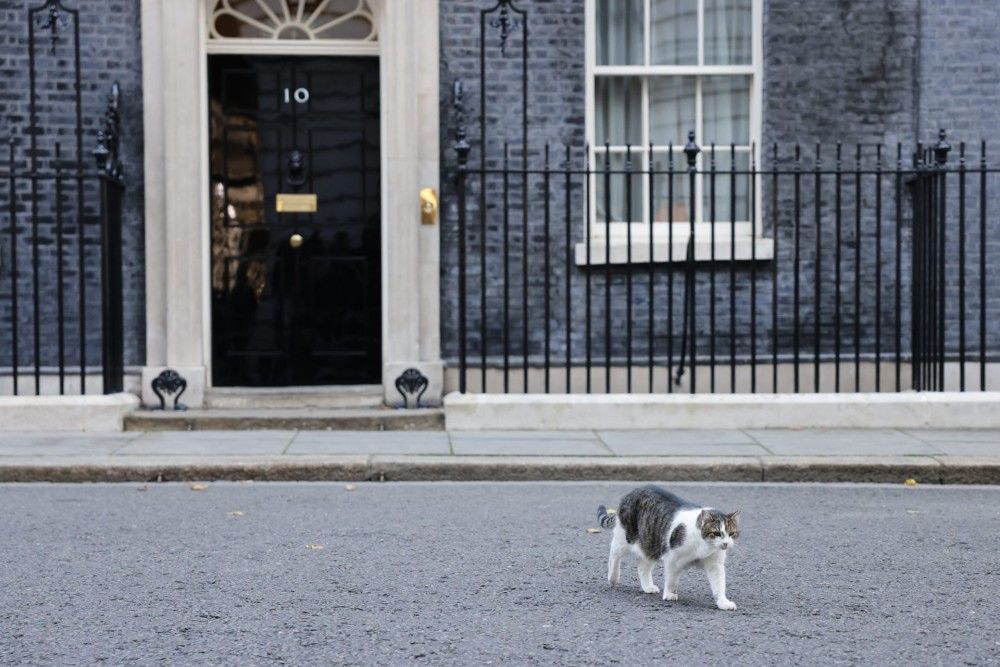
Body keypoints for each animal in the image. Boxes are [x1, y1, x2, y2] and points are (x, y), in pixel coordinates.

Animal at [592, 486, 744, 612]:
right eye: (716, 533)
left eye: (731, 533)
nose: (726, 543)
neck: (704, 547)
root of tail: (632, 492)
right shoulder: (672, 559)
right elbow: (671, 579)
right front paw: (670, 593)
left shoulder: (715, 565)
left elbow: (719, 584)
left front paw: (723, 602)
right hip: (626, 537)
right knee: (614, 552)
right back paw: (613, 577)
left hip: (650, 543)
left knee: (642, 567)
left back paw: (648, 587)